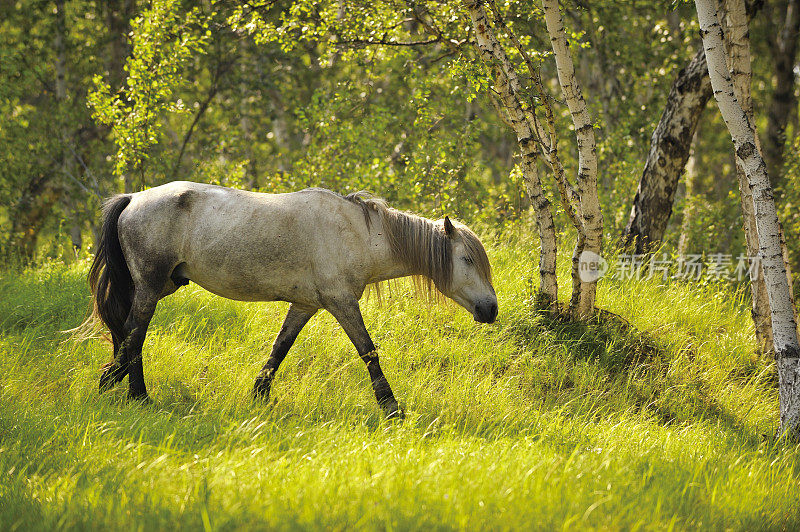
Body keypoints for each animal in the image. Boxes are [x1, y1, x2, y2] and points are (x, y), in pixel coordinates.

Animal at [89, 181, 500, 418]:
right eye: (467, 259)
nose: (491, 309)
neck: (358, 234)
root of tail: (133, 198)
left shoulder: (306, 306)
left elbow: (280, 349)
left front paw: (259, 395)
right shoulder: (341, 302)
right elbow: (368, 351)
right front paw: (392, 409)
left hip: (160, 285)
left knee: (130, 336)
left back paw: (123, 388)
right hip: (150, 285)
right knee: (133, 334)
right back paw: (134, 394)